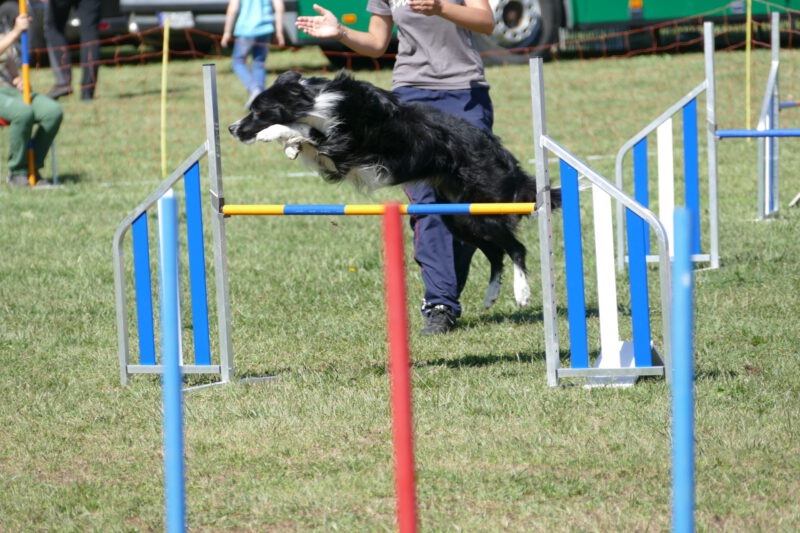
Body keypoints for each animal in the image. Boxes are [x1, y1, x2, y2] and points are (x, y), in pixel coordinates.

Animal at [228, 70, 560, 309]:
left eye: (259, 112)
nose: (232, 129)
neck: (315, 102)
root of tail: (511, 166)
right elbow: (304, 137)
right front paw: (290, 147)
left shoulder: (346, 144)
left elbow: (304, 131)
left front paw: (275, 134)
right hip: (459, 216)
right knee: (495, 253)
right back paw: (491, 296)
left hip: (483, 209)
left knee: (516, 248)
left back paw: (522, 293)